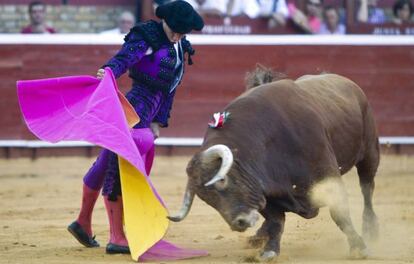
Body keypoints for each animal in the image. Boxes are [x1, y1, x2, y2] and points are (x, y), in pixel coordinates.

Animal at [167, 67, 378, 260]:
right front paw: (269, 251)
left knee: (367, 188)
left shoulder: (328, 176)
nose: (240, 223)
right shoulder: (266, 194)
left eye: (222, 181)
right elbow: (276, 221)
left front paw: (359, 248)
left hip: (370, 152)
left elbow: (339, 213)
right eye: (205, 199)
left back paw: (371, 229)